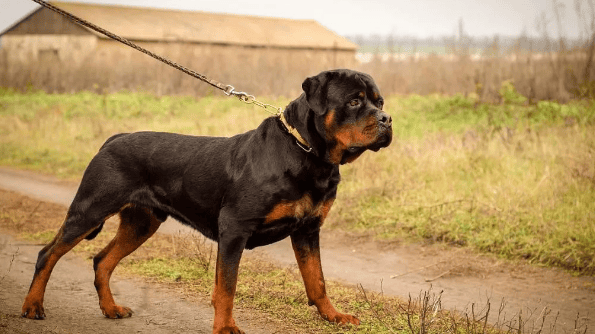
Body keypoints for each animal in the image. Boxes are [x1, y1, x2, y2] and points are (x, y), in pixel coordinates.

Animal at [23, 69, 394, 332]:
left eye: (380, 103)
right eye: (355, 101)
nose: (387, 120)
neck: (308, 154)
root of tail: (114, 139)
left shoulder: (308, 230)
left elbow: (317, 280)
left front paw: (334, 316)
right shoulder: (234, 229)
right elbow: (226, 287)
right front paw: (226, 327)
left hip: (141, 223)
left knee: (102, 260)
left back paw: (110, 308)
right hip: (90, 210)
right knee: (48, 253)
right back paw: (32, 306)